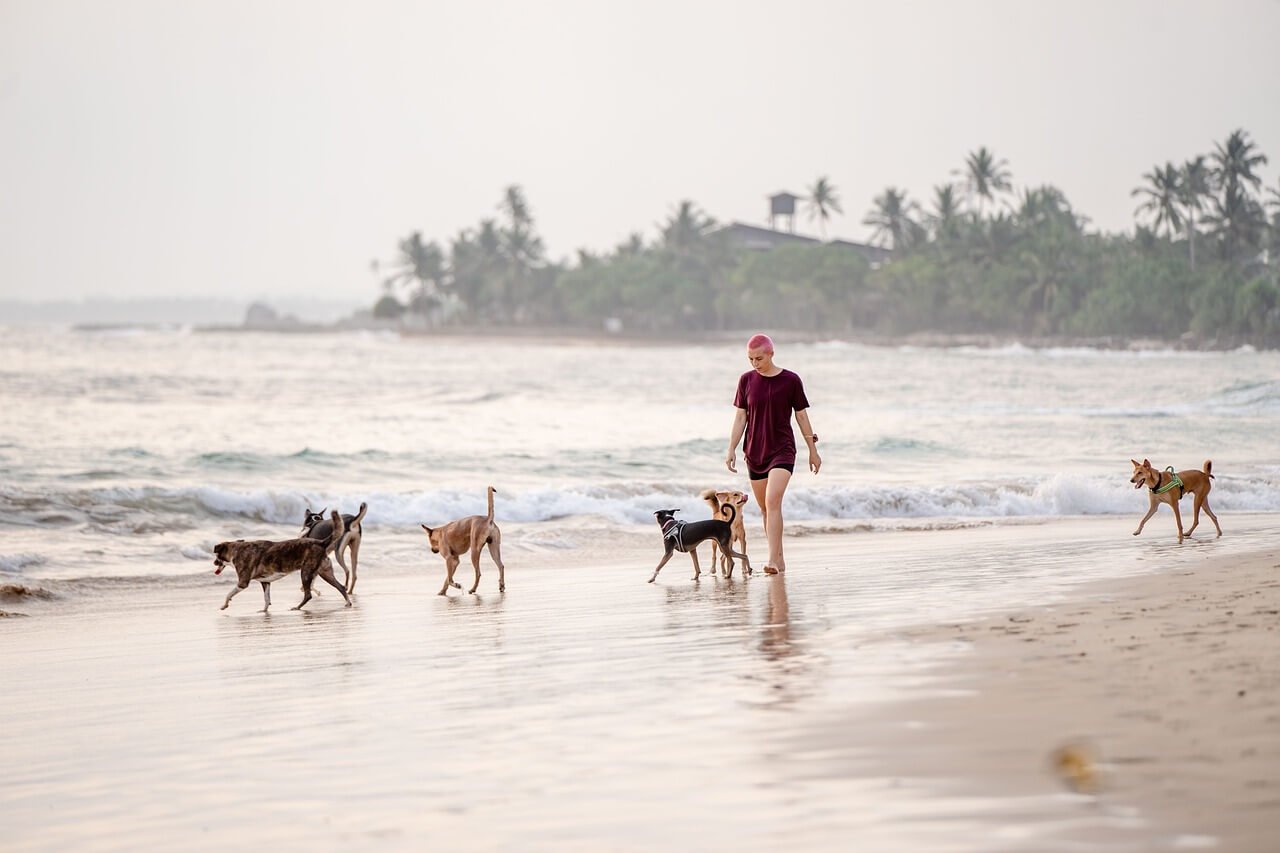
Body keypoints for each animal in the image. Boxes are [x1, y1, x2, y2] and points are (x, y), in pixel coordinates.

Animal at [215, 507, 353, 607]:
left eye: (216, 556)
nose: (214, 563)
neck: (237, 549)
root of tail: (321, 543)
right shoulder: (265, 582)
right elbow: (267, 599)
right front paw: (264, 611)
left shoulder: (242, 583)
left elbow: (228, 594)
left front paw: (224, 605)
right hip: (325, 572)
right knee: (341, 587)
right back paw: (348, 602)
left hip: (306, 572)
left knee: (308, 595)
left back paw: (297, 607)